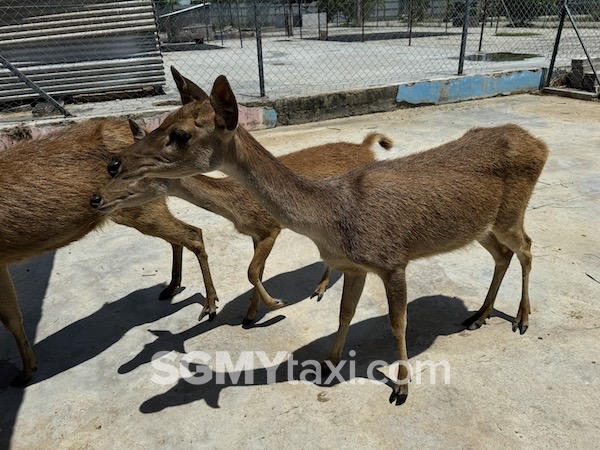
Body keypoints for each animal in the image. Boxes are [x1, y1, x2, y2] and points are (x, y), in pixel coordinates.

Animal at [0, 117, 220, 386]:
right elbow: (12, 317)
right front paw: (27, 368)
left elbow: (10, 318)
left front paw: (24, 373)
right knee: (180, 237)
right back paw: (171, 288)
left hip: (139, 208)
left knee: (193, 233)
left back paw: (209, 305)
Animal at [88, 118, 390, 326]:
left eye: (140, 176)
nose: (96, 198)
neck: (237, 206)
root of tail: (367, 148)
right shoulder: (256, 234)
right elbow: (258, 270)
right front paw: (250, 315)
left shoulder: (270, 228)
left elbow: (252, 271)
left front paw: (273, 306)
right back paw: (319, 287)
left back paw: (320, 288)